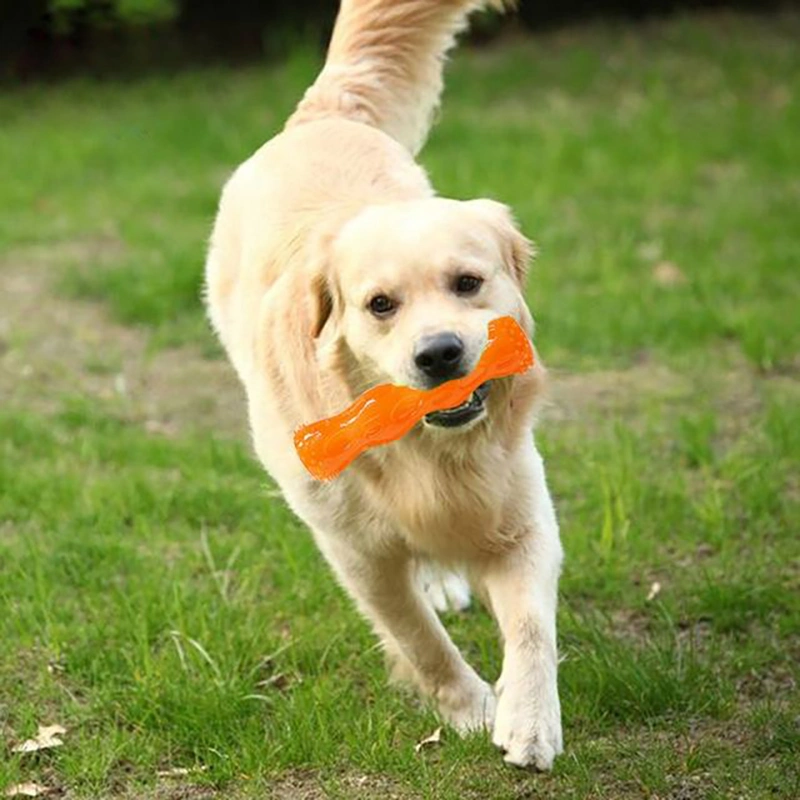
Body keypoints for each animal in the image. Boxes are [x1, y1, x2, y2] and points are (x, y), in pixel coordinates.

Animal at [206, 0, 564, 768]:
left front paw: (528, 719)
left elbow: (530, 626)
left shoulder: (522, 511)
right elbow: (417, 637)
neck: (425, 452)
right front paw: (469, 707)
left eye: (468, 283)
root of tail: (318, 115)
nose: (439, 354)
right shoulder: (356, 551)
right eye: (380, 305)